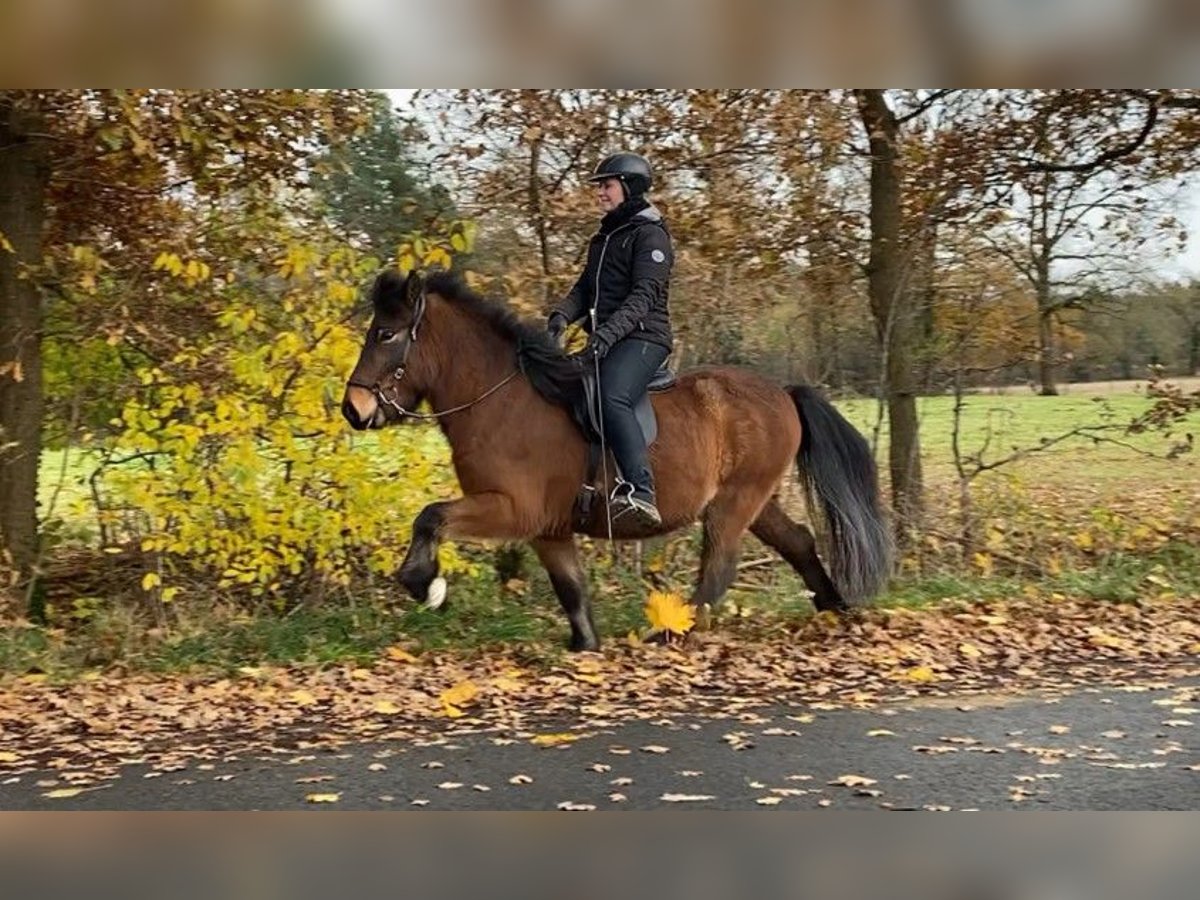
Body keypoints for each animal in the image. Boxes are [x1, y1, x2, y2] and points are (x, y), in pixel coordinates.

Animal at [338, 266, 892, 648]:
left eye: (385, 334)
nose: (353, 409)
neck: (501, 399)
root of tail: (783, 393)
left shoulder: (512, 508)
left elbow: (431, 516)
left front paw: (425, 585)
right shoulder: (549, 528)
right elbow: (571, 589)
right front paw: (585, 646)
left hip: (734, 503)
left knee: (718, 568)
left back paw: (672, 631)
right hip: (758, 501)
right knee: (797, 542)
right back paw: (834, 607)